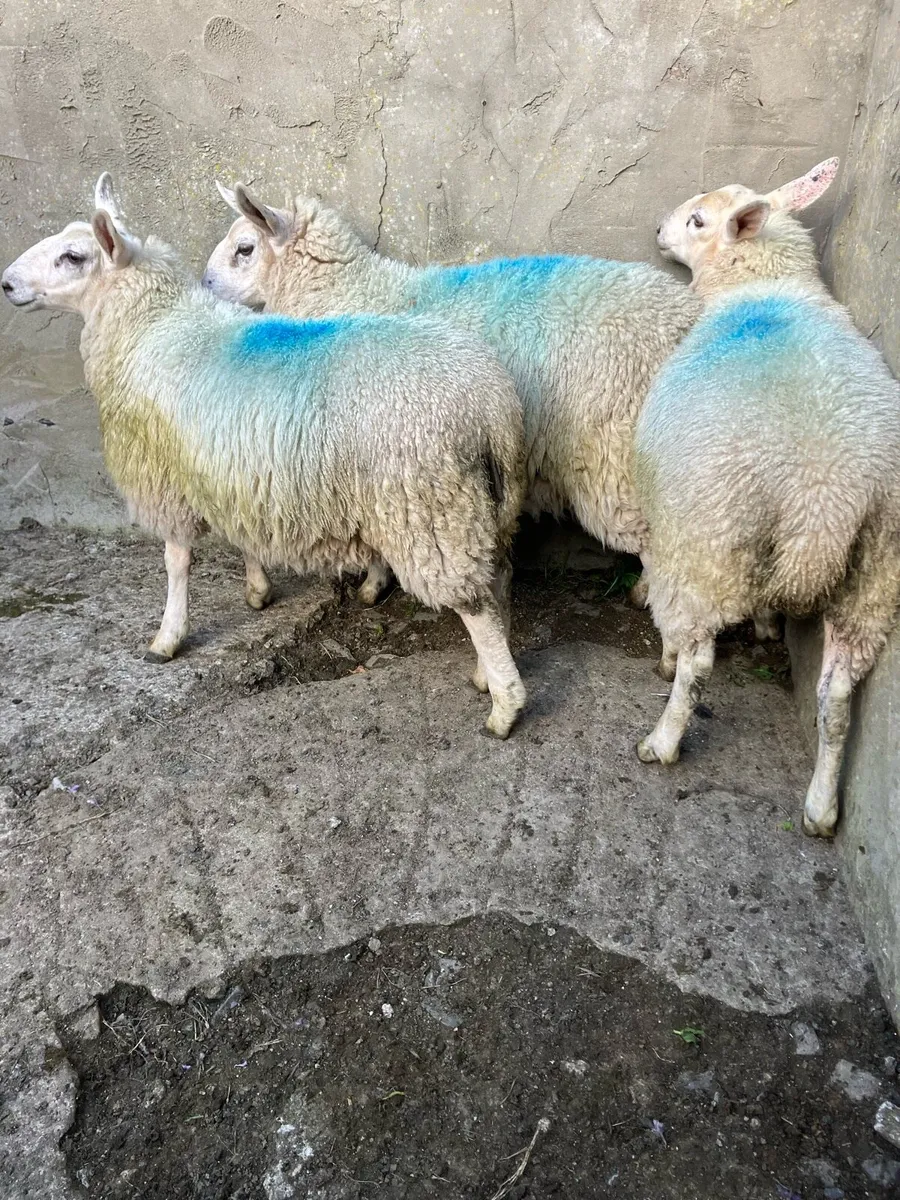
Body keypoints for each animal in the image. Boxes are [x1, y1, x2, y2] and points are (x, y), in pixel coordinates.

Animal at [1, 174, 529, 738]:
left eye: (73, 257)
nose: (7, 283)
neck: (151, 327)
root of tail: (487, 405)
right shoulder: (229, 471)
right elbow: (242, 536)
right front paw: (257, 590)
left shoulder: (167, 478)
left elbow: (176, 562)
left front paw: (168, 637)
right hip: (485, 504)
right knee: (499, 581)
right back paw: (486, 674)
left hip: (430, 509)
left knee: (475, 605)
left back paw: (504, 706)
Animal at [201, 181, 702, 606]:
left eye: (244, 249)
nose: (202, 285)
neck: (349, 291)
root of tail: (685, 320)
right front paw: (376, 584)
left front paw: (370, 584)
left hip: (615, 457)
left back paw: (648, 602)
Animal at [633, 157, 900, 837]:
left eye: (699, 221)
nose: (657, 229)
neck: (762, 286)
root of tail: (824, 496)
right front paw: (763, 620)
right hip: (873, 579)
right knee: (837, 699)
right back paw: (821, 807)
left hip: (707, 538)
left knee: (699, 661)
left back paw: (663, 737)